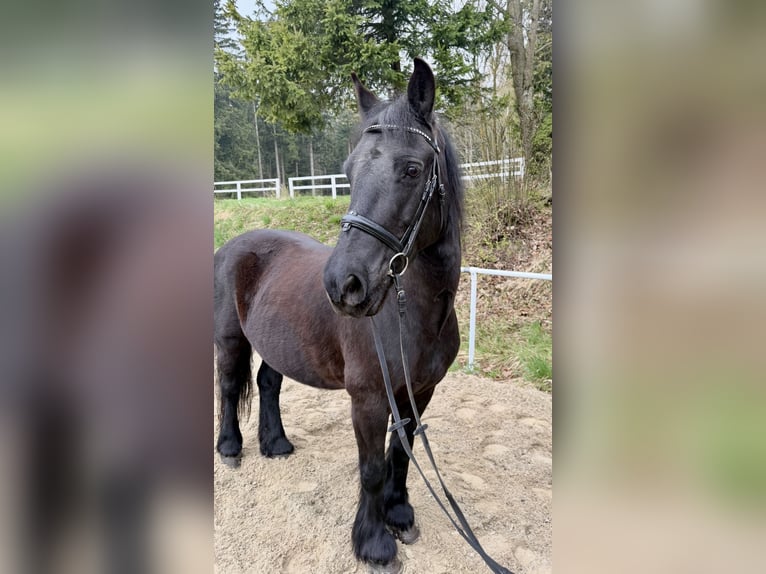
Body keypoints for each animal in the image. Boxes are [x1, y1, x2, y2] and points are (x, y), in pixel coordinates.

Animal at [214, 58, 464, 573]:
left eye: (412, 169)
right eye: (348, 171)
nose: (343, 285)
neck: (413, 315)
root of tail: (234, 243)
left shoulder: (420, 392)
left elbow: (401, 453)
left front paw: (400, 515)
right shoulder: (368, 398)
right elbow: (371, 467)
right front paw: (374, 543)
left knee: (268, 383)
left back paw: (276, 445)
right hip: (229, 340)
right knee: (228, 388)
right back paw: (231, 448)